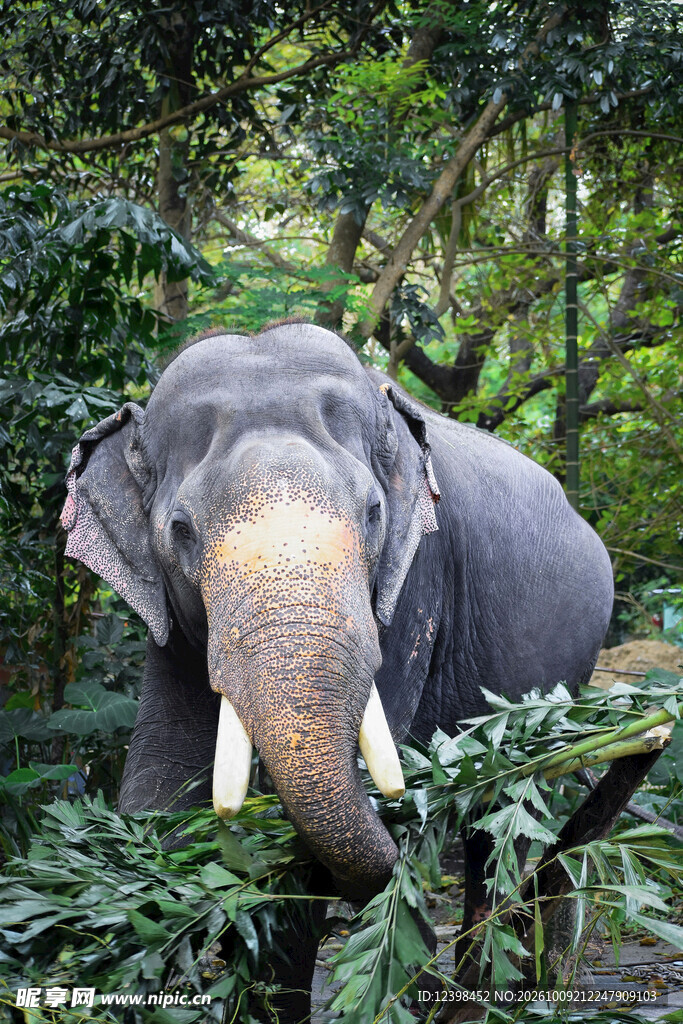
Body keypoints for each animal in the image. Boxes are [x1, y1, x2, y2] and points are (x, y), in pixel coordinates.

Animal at [61, 321, 613, 1019]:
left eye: (374, 513)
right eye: (181, 530)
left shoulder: (416, 579)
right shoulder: (170, 621)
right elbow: (161, 779)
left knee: (507, 817)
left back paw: (488, 994)